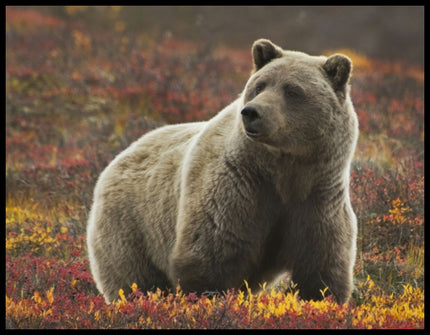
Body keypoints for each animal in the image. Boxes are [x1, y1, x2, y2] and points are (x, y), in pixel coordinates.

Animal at [86, 38, 360, 304]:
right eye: (260, 86)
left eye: (292, 90)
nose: (251, 112)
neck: (283, 169)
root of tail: (120, 156)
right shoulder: (238, 187)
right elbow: (209, 255)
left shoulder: (318, 197)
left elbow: (321, 265)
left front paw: (319, 298)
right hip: (132, 226)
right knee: (135, 278)